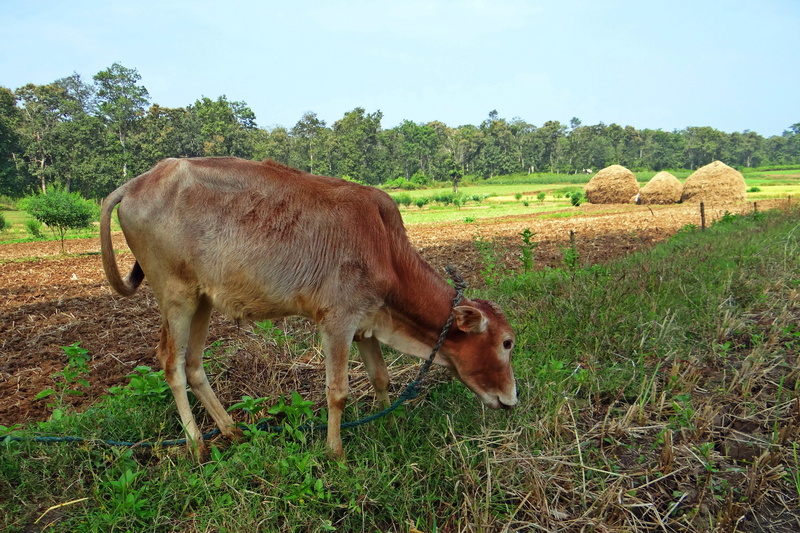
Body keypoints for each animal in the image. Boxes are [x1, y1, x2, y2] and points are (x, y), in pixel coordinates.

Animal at [99, 157, 517, 459]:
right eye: (507, 343)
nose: (511, 401)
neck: (385, 247)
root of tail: (135, 183)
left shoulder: (365, 322)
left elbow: (381, 377)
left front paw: (388, 423)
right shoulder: (337, 322)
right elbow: (337, 392)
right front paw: (335, 453)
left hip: (202, 299)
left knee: (193, 363)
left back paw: (231, 430)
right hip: (176, 295)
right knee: (171, 363)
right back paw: (196, 444)